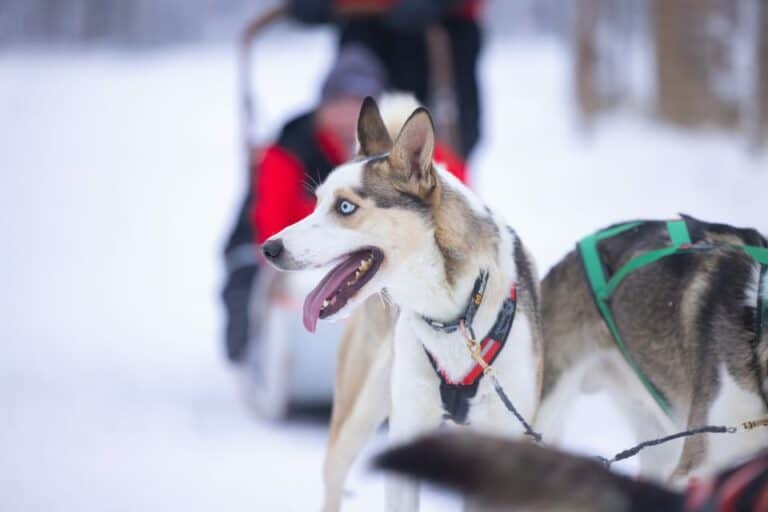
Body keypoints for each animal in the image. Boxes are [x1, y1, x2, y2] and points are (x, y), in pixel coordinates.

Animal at [260, 98, 544, 510]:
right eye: (316, 202)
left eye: (345, 207)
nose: (269, 248)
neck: (454, 312)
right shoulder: (407, 430)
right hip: (357, 415)